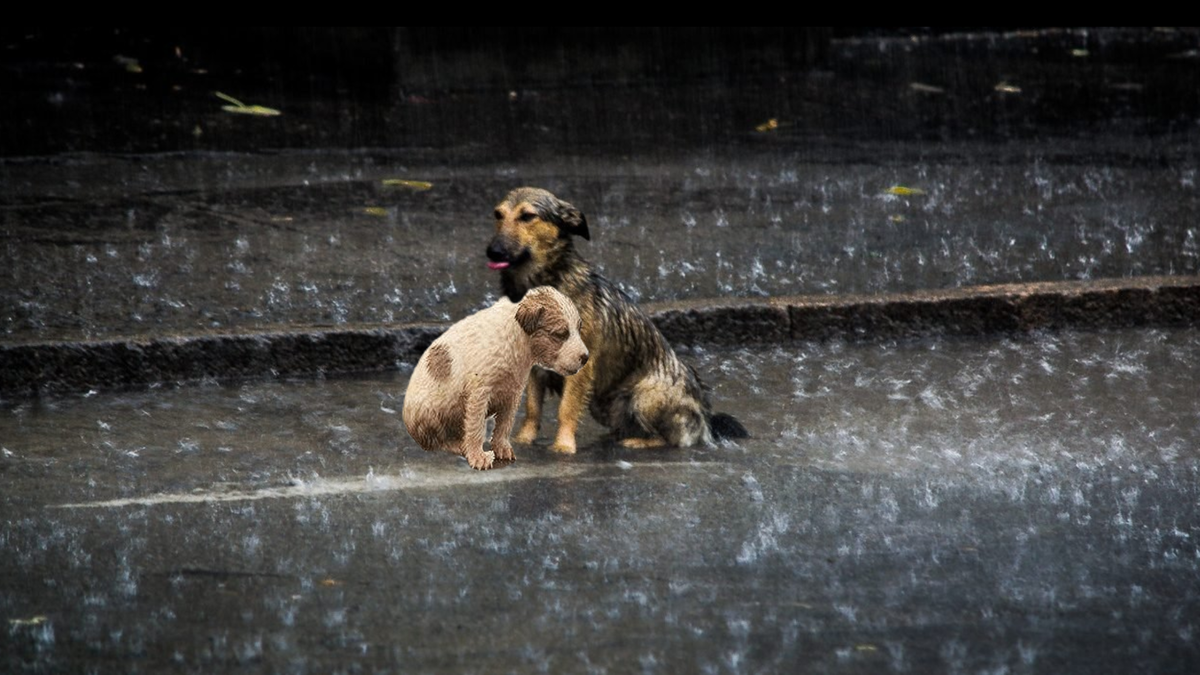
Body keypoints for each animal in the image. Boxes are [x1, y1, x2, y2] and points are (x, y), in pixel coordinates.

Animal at [482, 183, 744, 451]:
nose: (493, 252)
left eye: (527, 216)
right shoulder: (535, 366)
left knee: (671, 439)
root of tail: (705, 419)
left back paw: (635, 442)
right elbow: (532, 408)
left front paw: (563, 447)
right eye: (498, 215)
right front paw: (523, 440)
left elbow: (566, 408)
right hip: (604, 404)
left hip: (643, 396)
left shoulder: (582, 366)